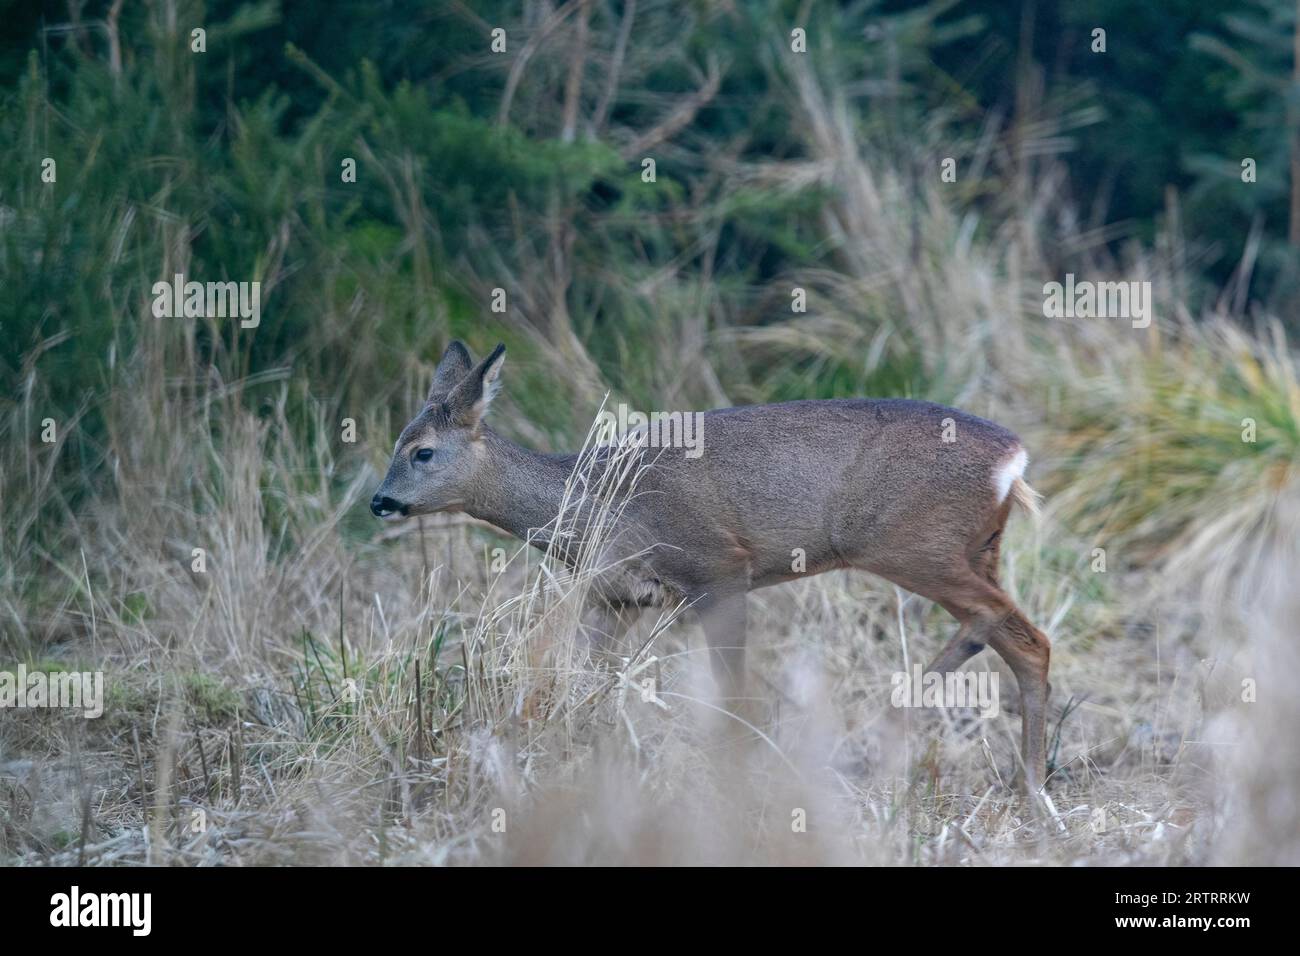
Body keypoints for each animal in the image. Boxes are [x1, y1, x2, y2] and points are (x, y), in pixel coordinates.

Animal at [371, 343, 1050, 790]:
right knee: (1025, 642)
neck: (590, 500)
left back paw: (873, 744)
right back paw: (1030, 785)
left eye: (421, 452)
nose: (379, 500)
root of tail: (1012, 460)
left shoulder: (719, 566)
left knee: (1002, 624)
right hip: (974, 548)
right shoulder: (613, 595)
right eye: (396, 444)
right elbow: (576, 682)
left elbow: (734, 691)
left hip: (910, 543)